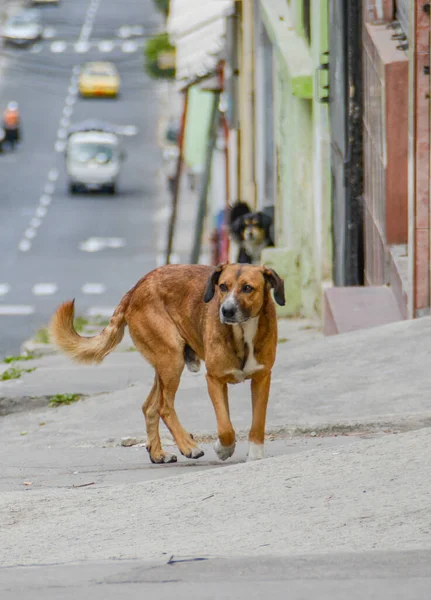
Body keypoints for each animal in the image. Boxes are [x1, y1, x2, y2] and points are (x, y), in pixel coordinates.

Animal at [49, 262, 286, 464]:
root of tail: (137, 287)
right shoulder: (214, 380)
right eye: (223, 287)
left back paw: (158, 453)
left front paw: (255, 455)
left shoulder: (262, 378)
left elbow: (258, 422)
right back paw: (188, 446)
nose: (226, 311)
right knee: (164, 407)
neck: (242, 333)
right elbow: (225, 427)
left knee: (150, 406)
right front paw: (223, 448)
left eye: (247, 288)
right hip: (172, 360)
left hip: (165, 364)